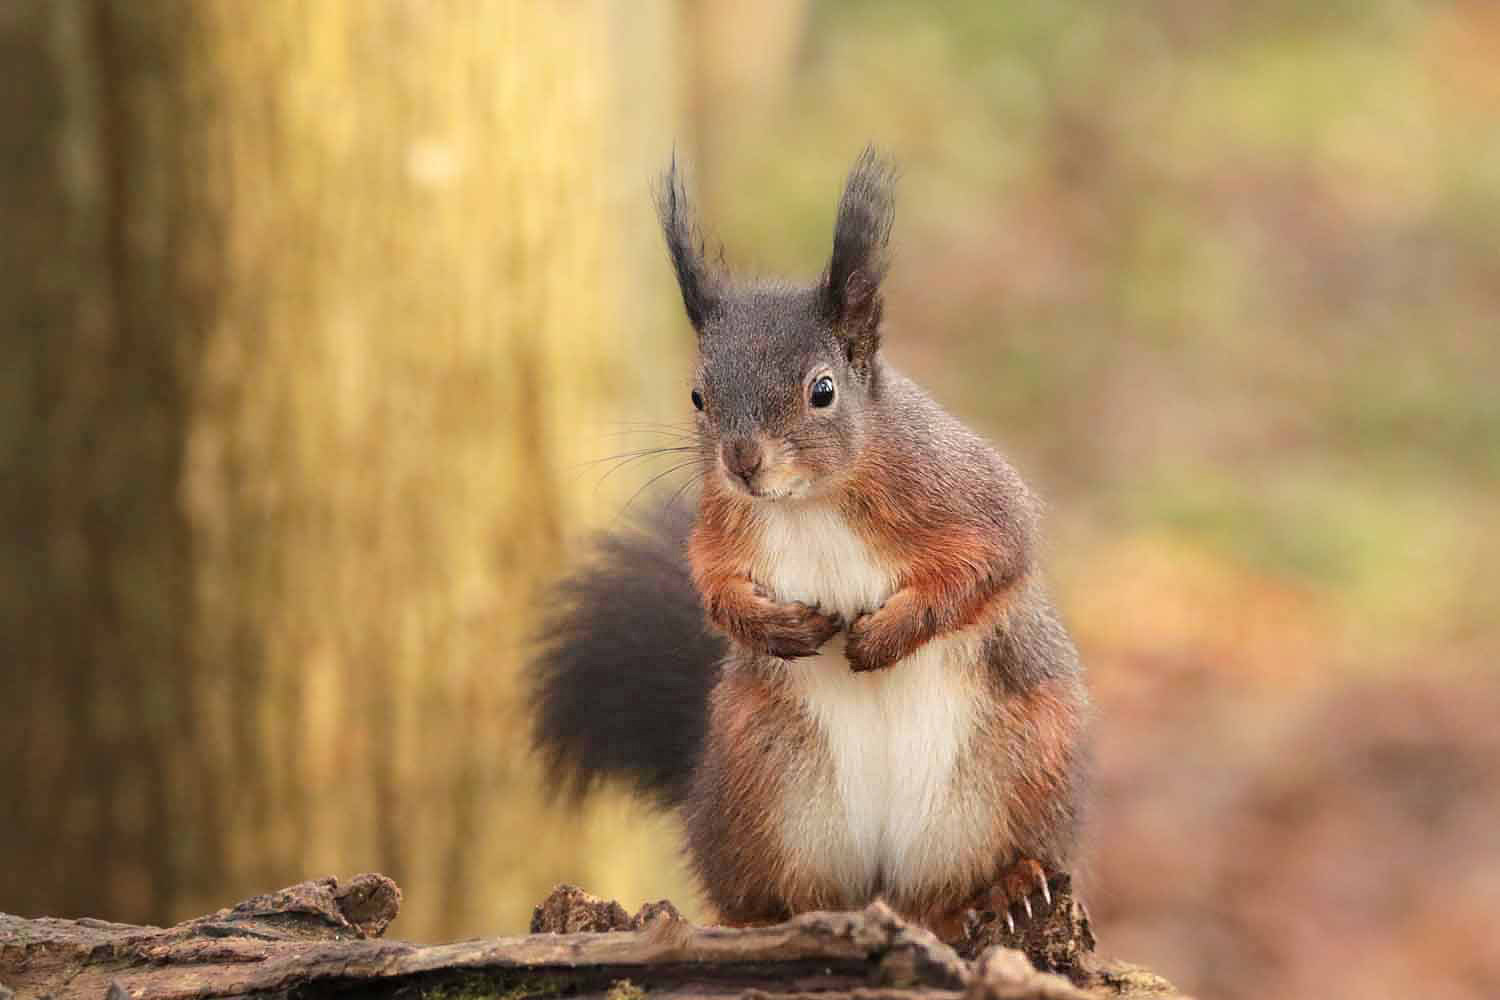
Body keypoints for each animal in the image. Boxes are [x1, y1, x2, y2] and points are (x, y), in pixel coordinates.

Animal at [531, 150, 1092, 947]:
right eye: (698, 396)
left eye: (822, 391)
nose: (742, 461)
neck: (808, 504)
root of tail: (881, 882)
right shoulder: (723, 525)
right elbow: (712, 586)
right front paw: (777, 627)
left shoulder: (964, 490)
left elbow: (993, 558)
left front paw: (885, 637)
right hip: (763, 789)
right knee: (775, 889)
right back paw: (766, 918)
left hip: (1018, 770)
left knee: (966, 881)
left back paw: (1003, 889)